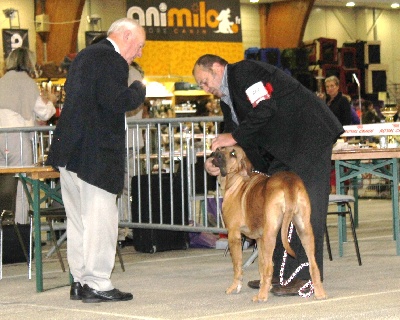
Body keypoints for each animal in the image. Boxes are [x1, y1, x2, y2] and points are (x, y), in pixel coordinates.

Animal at [211, 146, 326, 302]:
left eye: (233, 153)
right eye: (220, 148)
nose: (216, 154)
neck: (237, 180)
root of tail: (289, 182)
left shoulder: (234, 235)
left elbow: (238, 265)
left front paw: (235, 287)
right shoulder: (259, 240)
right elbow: (260, 264)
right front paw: (262, 284)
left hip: (270, 234)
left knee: (269, 268)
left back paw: (261, 296)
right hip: (304, 229)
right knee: (313, 265)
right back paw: (320, 293)